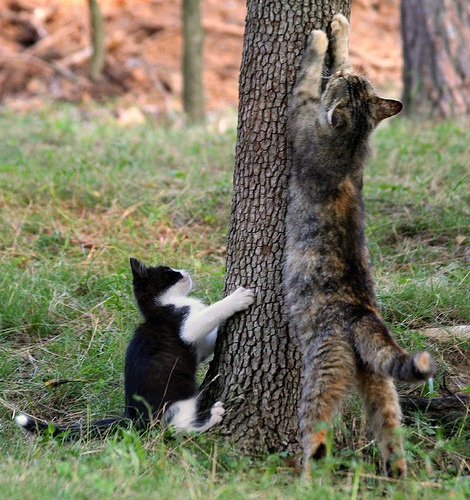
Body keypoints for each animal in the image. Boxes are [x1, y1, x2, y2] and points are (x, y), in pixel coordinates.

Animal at [16, 257, 254, 437]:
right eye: (170, 272)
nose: (184, 271)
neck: (162, 307)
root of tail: (132, 417)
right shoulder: (183, 323)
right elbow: (209, 314)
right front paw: (237, 298)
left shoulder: (199, 346)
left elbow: (207, 344)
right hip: (179, 392)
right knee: (175, 427)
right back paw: (212, 416)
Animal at [283, 14, 436, 477]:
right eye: (355, 81)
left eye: (341, 86)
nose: (344, 77)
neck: (352, 149)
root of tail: (363, 316)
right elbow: (340, 52)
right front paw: (340, 28)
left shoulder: (301, 112)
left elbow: (306, 77)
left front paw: (319, 39)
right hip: (382, 389)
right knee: (392, 438)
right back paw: (398, 478)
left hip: (321, 375)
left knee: (316, 433)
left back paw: (306, 475)